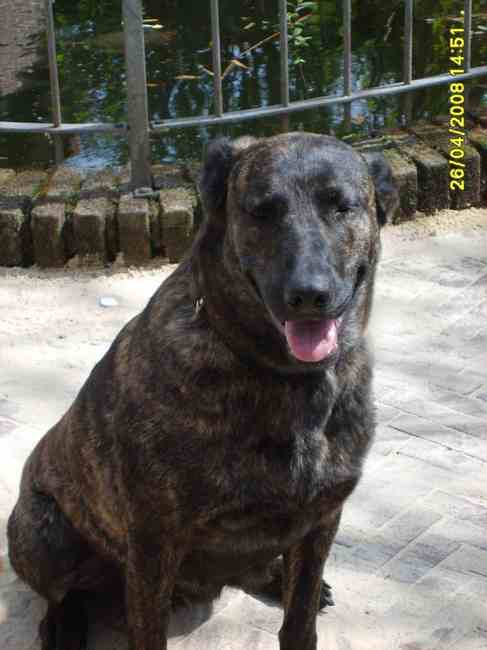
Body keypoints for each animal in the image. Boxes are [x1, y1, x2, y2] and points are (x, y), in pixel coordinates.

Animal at [8, 132, 398, 650]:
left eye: (342, 206)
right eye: (261, 211)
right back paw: (64, 626)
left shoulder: (321, 519)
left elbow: (300, 615)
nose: (309, 295)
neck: (287, 378)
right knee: (62, 593)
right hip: (44, 532)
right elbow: (146, 632)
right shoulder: (153, 540)